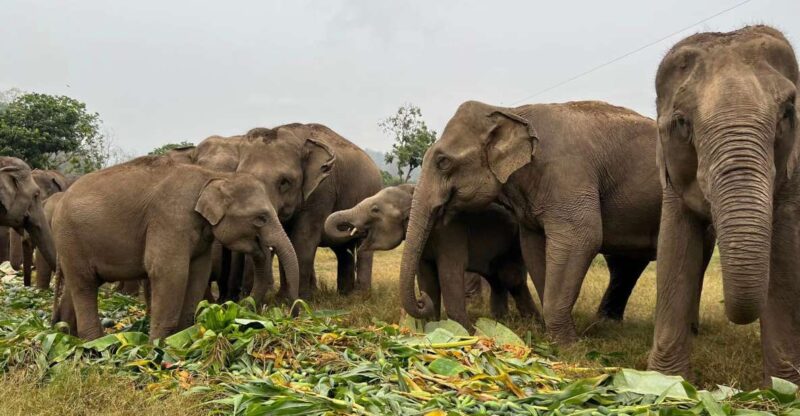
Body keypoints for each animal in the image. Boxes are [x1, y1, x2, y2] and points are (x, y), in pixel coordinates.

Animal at [51, 156, 299, 340]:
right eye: (260, 218)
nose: (294, 312)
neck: (213, 177)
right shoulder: (170, 218)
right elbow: (169, 272)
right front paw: (157, 348)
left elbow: (198, 273)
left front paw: (183, 337)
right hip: (70, 238)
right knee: (84, 285)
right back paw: (95, 343)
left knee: (76, 285)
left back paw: (67, 336)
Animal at [325, 184, 538, 329]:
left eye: (375, 209)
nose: (421, 299)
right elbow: (426, 276)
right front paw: (431, 327)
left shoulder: (450, 234)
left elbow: (448, 275)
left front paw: (466, 333)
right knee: (498, 279)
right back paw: (501, 322)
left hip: (514, 244)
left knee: (511, 278)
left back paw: (530, 325)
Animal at [397, 100, 708, 344]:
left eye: (443, 162)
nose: (423, 299)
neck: (512, 112)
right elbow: (534, 247)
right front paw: (555, 336)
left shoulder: (567, 175)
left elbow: (582, 237)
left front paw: (568, 346)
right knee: (627, 264)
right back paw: (607, 324)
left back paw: (690, 332)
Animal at [648, 25, 800, 384]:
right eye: (682, 123)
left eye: (787, 113)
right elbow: (674, 247)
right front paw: (663, 383)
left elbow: (784, 255)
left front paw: (783, 387)